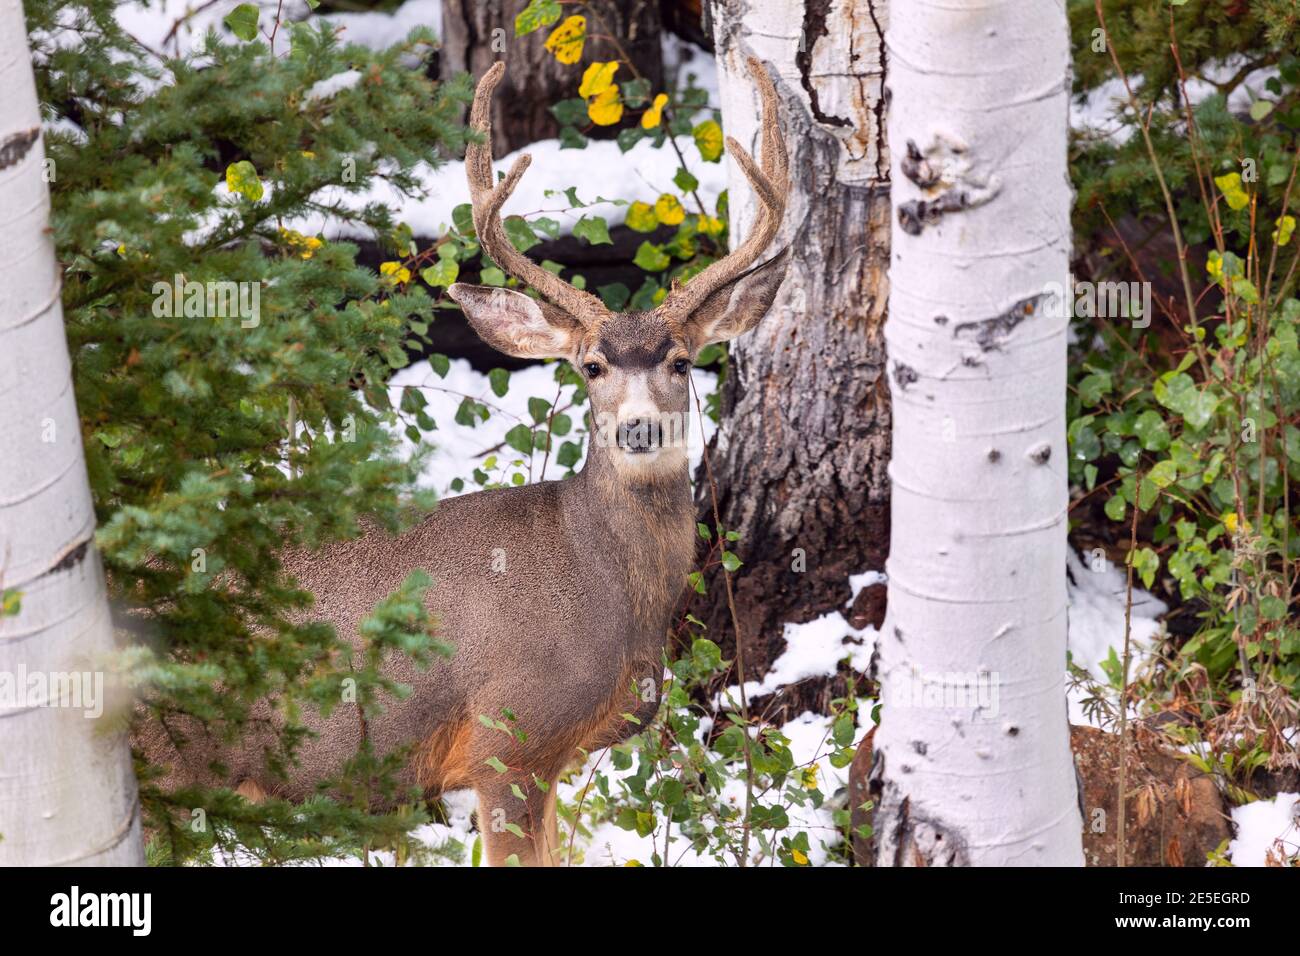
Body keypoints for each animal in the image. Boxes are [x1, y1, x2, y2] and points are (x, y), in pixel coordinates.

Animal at [136, 56, 789, 866]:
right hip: (168, 762)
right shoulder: (507, 737)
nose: (639, 429)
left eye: (681, 360)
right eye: (592, 366)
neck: (611, 595)